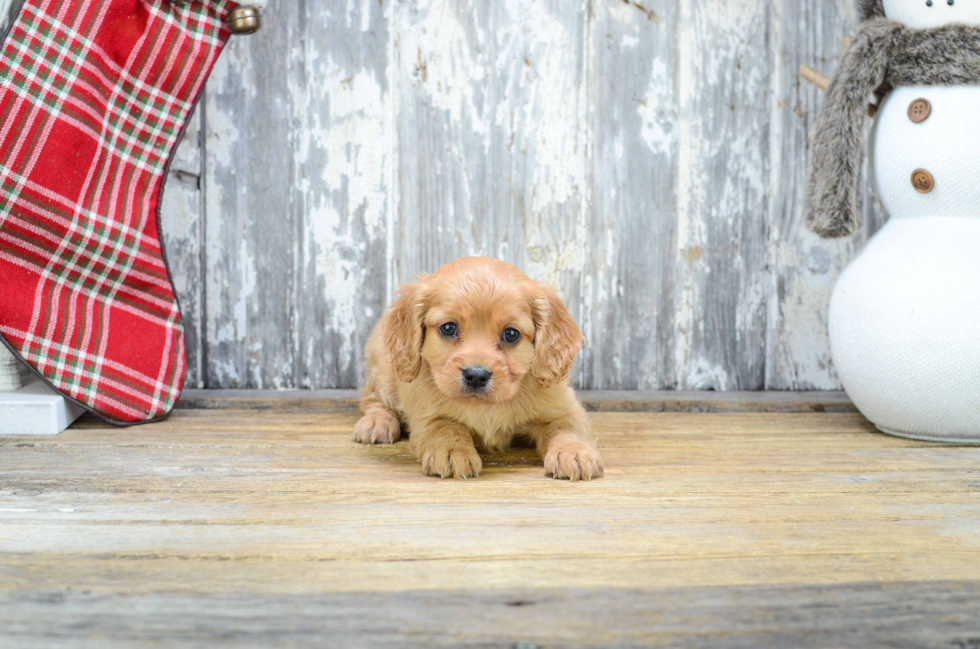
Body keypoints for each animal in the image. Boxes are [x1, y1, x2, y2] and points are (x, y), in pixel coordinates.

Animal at [352, 256, 596, 478]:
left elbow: (565, 427)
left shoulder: (563, 407)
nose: (476, 376)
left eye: (511, 334)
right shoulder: (426, 413)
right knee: (371, 398)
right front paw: (453, 451)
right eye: (448, 328)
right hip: (384, 369)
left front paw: (573, 453)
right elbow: (446, 426)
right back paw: (377, 423)